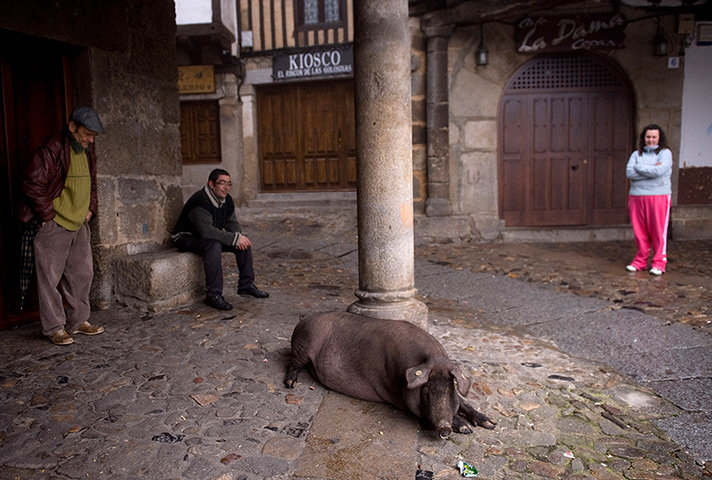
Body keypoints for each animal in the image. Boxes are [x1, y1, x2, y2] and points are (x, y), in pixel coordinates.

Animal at [284, 312, 496, 438]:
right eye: (426, 389)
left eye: (451, 386)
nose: (444, 428)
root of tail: (304, 318)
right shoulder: (399, 397)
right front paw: (466, 428)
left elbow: (463, 402)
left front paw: (490, 424)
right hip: (303, 346)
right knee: (292, 363)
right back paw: (291, 383)